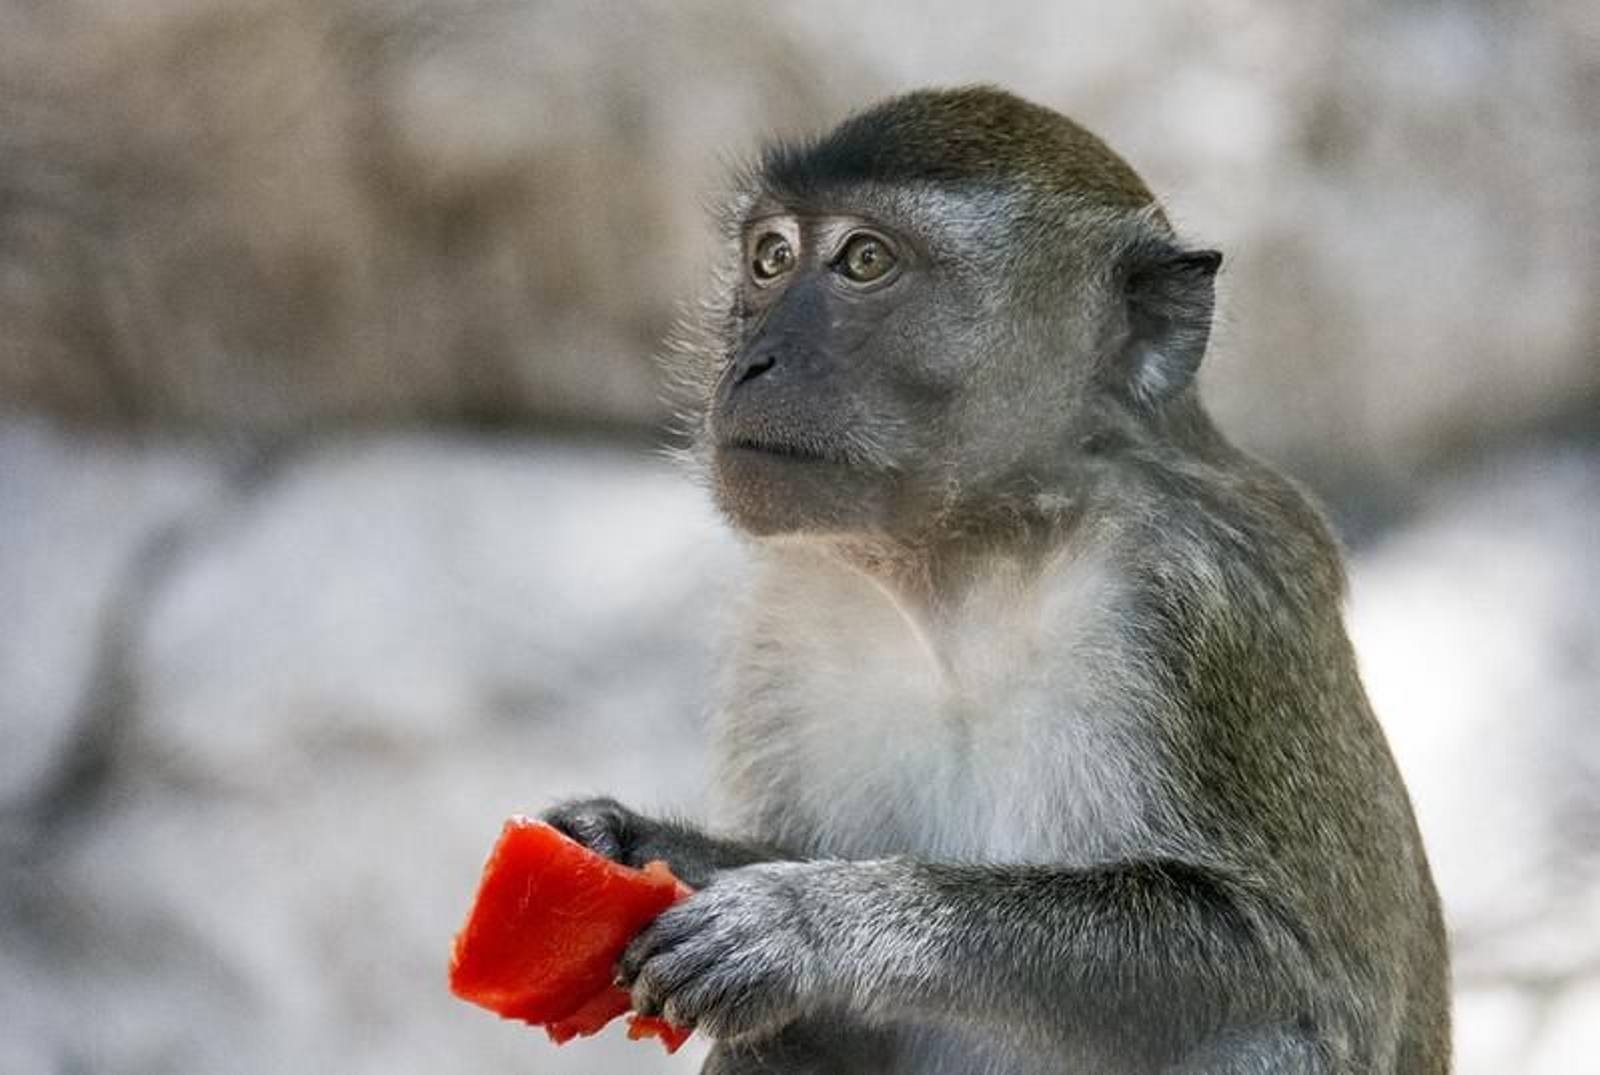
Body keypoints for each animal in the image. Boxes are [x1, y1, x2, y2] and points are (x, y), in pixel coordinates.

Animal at [545, 86, 1450, 1073]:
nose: (752, 362)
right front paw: (631, 843)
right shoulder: (789, 604)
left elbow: (1273, 947)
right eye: (772, 257)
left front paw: (803, 923)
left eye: (865, 260)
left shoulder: (1201, 601)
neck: (970, 562)